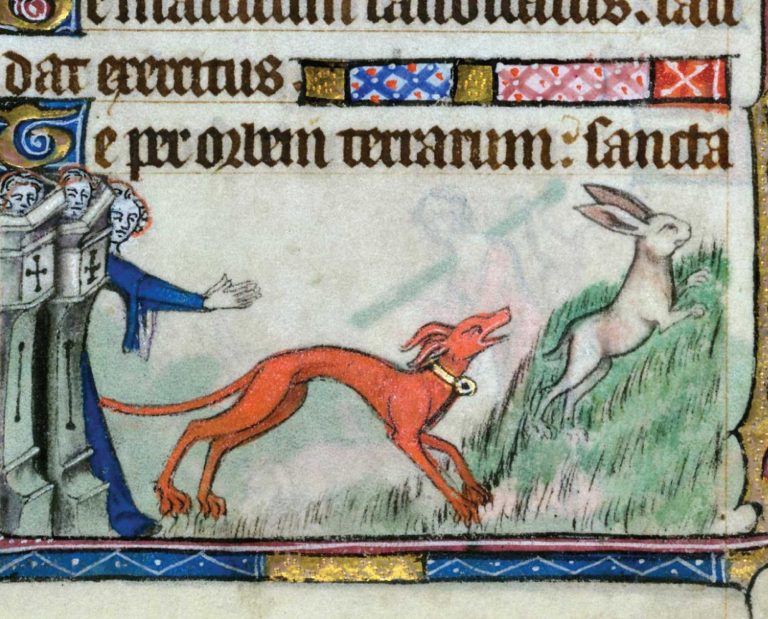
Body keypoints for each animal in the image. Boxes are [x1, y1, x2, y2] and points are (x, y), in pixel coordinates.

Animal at [533, 184, 709, 441]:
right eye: (668, 227)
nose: (689, 228)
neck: (652, 274)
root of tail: (572, 331)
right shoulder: (664, 319)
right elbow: (680, 314)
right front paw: (698, 309)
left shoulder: (671, 301)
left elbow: (685, 286)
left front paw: (700, 276)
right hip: (583, 364)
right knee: (551, 390)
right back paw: (542, 429)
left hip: (600, 368)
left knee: (572, 395)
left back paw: (574, 432)